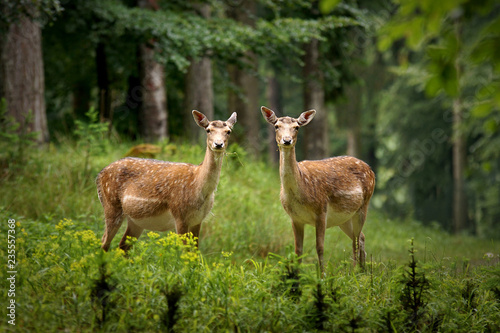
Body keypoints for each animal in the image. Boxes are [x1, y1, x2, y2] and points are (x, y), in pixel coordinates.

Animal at [98, 110, 238, 250]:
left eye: (228, 131)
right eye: (208, 130)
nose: (218, 144)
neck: (199, 187)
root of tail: (99, 175)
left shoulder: (198, 220)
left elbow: (195, 252)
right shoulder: (180, 215)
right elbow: (185, 252)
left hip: (135, 221)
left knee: (122, 245)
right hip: (111, 205)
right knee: (104, 241)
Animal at [262, 106, 376, 270]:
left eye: (296, 127)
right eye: (276, 126)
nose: (287, 140)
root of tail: (371, 170)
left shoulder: (321, 210)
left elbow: (320, 248)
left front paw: (322, 275)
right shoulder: (295, 217)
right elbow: (298, 250)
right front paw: (296, 276)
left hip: (363, 205)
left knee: (355, 240)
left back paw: (355, 271)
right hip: (344, 218)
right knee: (361, 237)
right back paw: (363, 271)